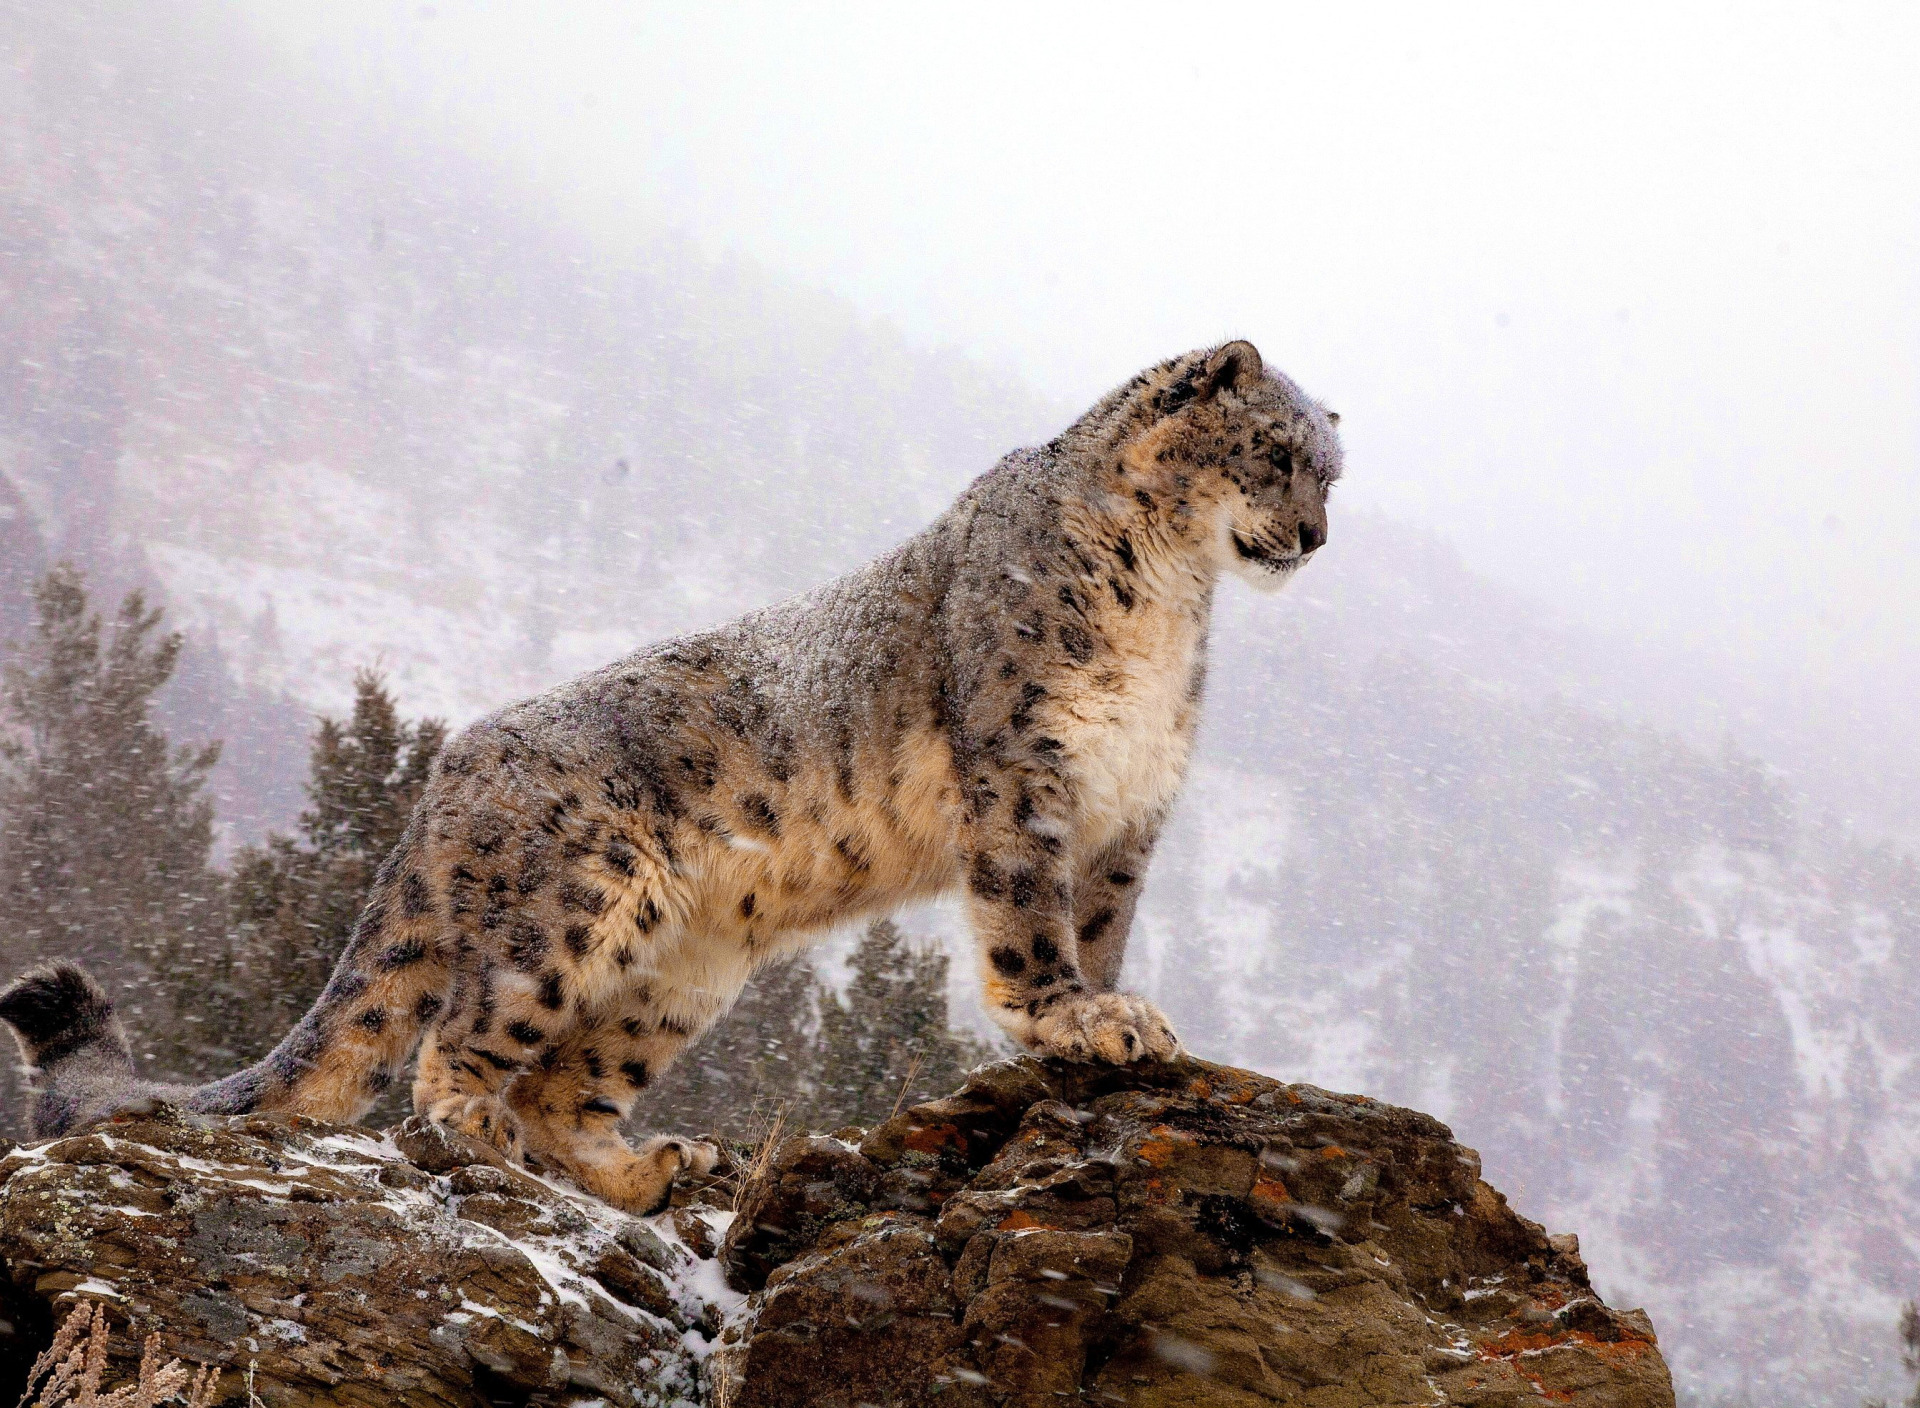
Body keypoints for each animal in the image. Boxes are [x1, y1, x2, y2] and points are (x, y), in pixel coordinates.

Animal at [0, 338, 1344, 1206]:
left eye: (1331, 467)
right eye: (1276, 453)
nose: (1317, 536)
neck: (1173, 591)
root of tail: (447, 767)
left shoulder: (1130, 806)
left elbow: (1101, 923)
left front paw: (1118, 1013)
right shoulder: (1027, 772)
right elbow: (1032, 922)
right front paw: (1075, 1016)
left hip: (682, 972)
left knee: (573, 1086)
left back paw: (653, 1168)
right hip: (574, 902)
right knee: (463, 1039)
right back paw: (482, 1127)